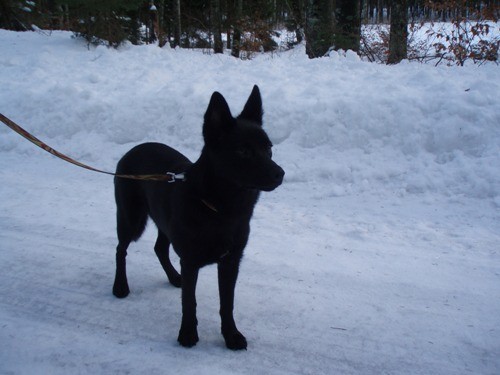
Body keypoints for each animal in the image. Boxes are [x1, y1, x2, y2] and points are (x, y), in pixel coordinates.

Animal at [113, 86, 286, 352]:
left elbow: (227, 304)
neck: (221, 210)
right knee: (120, 249)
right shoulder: (191, 260)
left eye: (269, 148)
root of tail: (131, 151)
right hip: (131, 218)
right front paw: (187, 334)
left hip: (164, 221)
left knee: (159, 248)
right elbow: (189, 301)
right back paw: (120, 286)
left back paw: (174, 277)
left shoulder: (230, 262)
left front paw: (231, 335)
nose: (280, 174)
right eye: (243, 151)